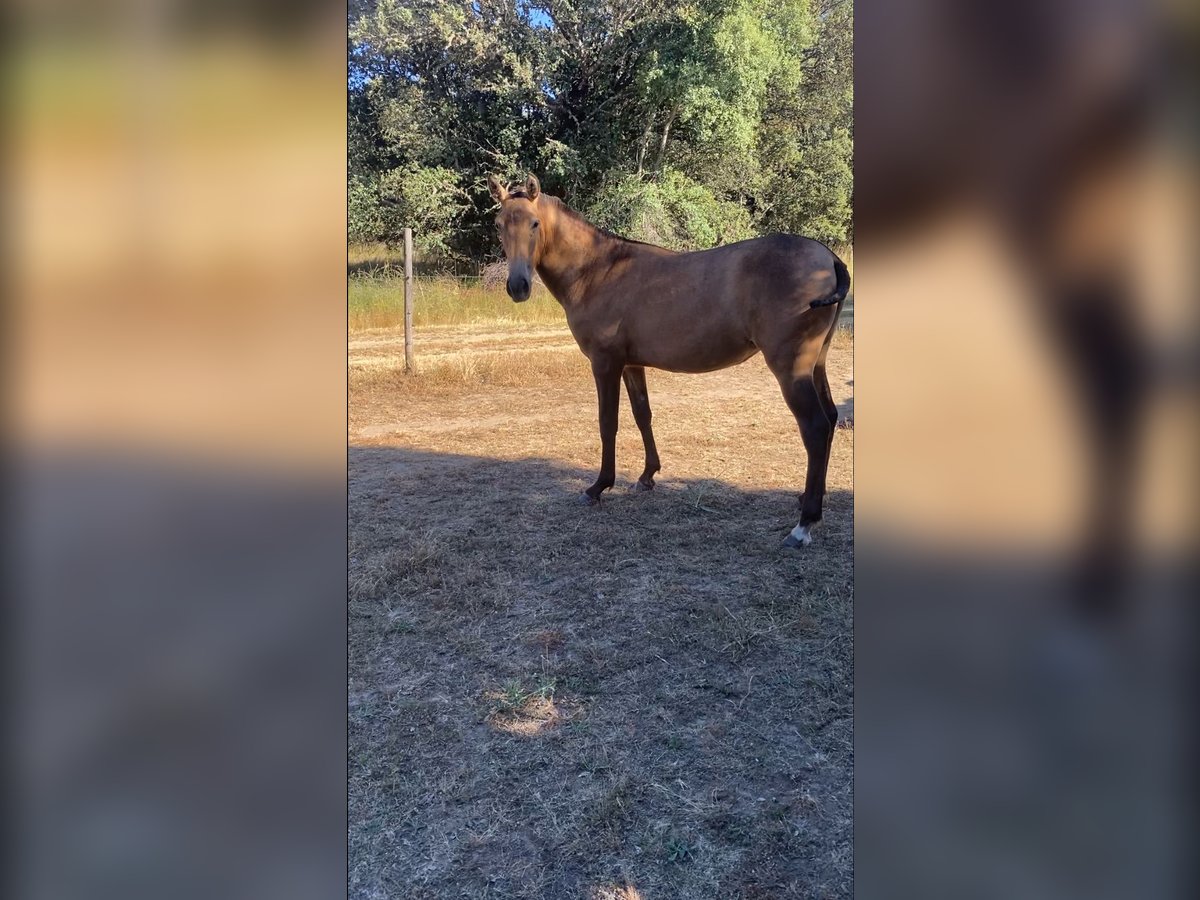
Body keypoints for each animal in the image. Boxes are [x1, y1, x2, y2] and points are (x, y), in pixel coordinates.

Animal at [482, 171, 849, 547]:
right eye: (499, 224)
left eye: (534, 223)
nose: (518, 286)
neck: (597, 270)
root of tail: (828, 258)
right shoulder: (631, 365)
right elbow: (643, 415)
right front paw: (647, 475)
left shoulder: (605, 363)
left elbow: (607, 423)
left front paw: (599, 486)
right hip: (816, 365)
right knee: (832, 418)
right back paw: (809, 499)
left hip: (792, 369)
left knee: (815, 427)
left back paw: (804, 524)